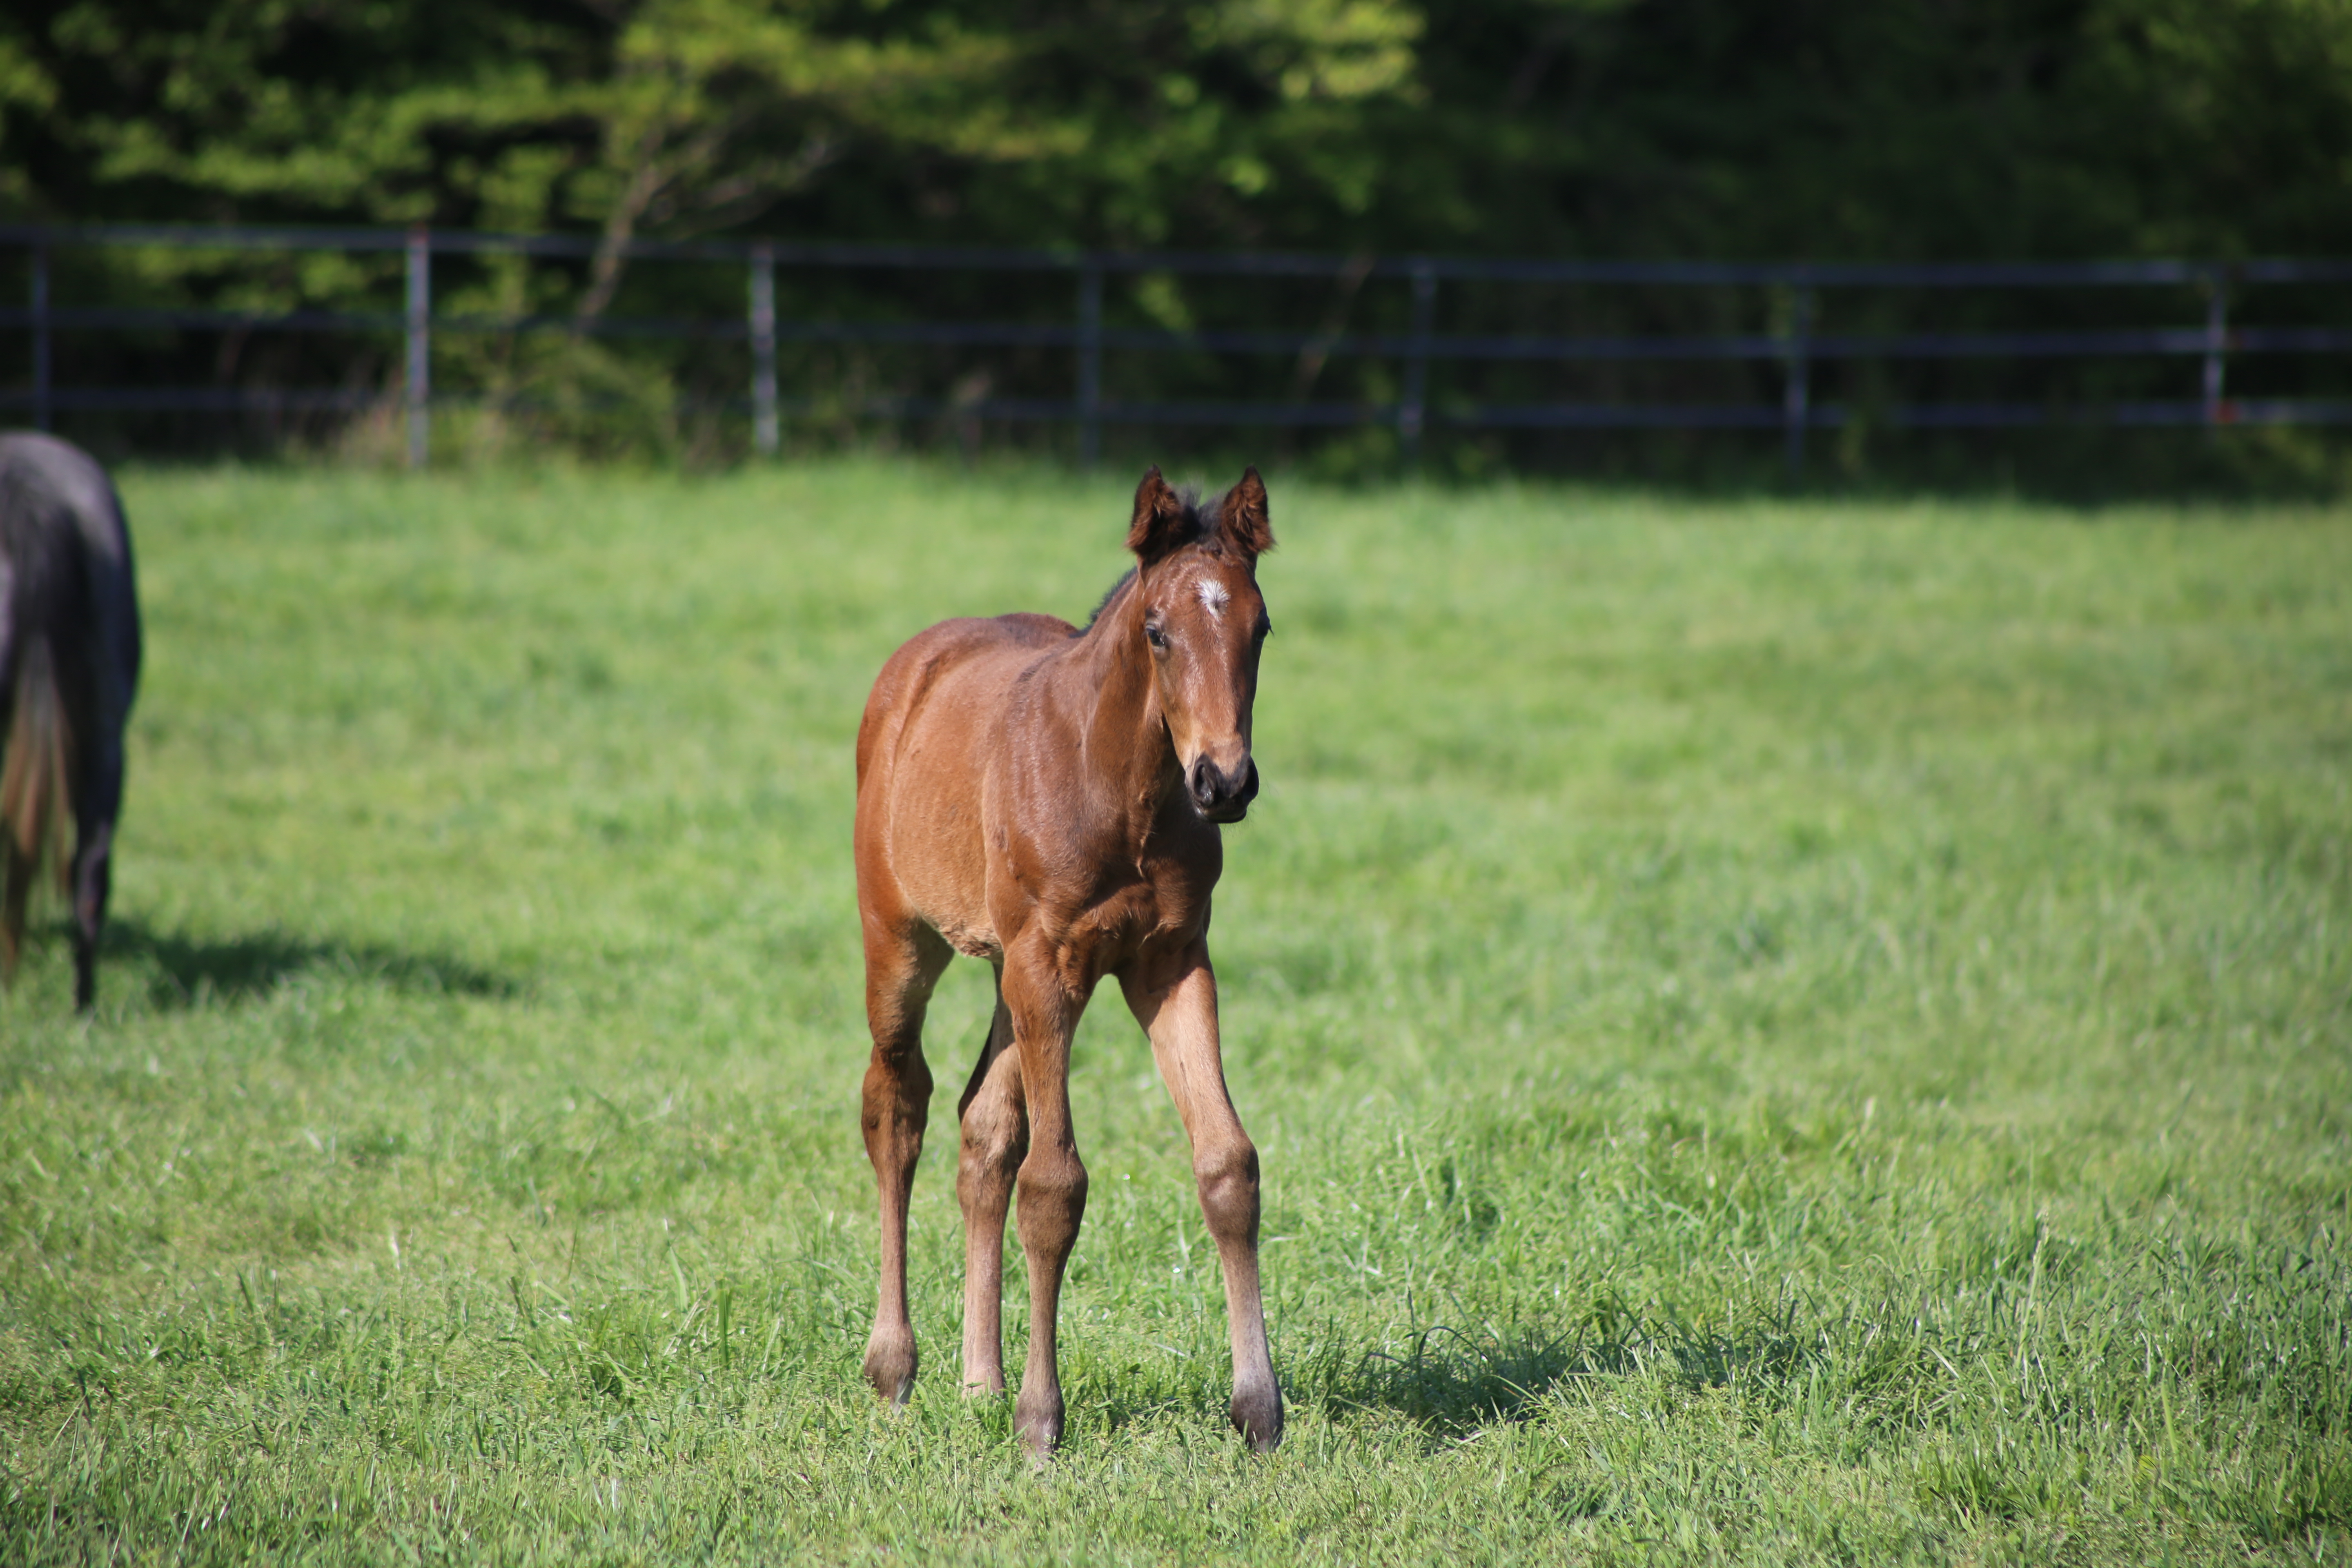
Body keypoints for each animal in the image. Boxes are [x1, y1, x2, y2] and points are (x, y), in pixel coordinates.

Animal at [851, 465, 1279, 1457]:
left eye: (1261, 627)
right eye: (1157, 631)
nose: (1224, 782)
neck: (1123, 789)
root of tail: (913, 664)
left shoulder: (1170, 963)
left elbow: (1227, 1164)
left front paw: (1258, 1409)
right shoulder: (1049, 968)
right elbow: (1056, 1187)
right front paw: (1041, 1421)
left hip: (1010, 972)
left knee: (982, 1132)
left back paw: (978, 1379)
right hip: (903, 939)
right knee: (897, 1106)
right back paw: (896, 1368)